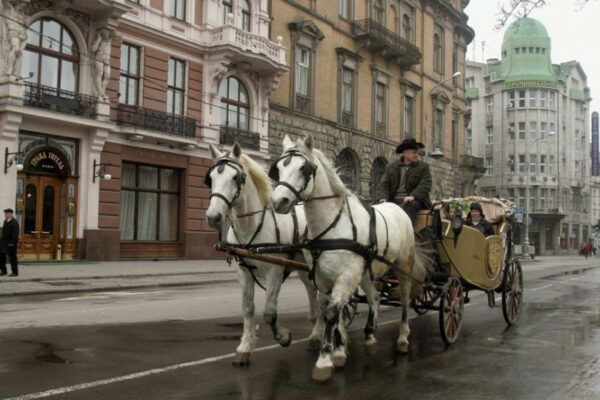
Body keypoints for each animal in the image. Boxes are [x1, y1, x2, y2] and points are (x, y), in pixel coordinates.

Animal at [206, 142, 318, 368]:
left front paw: (283, 337)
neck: (252, 226)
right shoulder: (243, 271)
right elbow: (248, 308)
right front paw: (244, 347)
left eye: (235, 177)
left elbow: (269, 312)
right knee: (313, 292)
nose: (213, 216)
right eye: (211, 178)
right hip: (304, 268)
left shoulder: (274, 271)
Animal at [270, 134, 432, 382]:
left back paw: (403, 338)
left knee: (405, 300)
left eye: (303, 168)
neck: (332, 226)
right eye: (278, 168)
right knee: (374, 297)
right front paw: (339, 351)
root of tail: (398, 207)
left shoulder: (345, 276)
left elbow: (330, 314)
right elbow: (332, 311)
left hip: (402, 266)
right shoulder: (324, 277)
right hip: (365, 272)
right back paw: (370, 338)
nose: (279, 202)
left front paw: (325, 360)